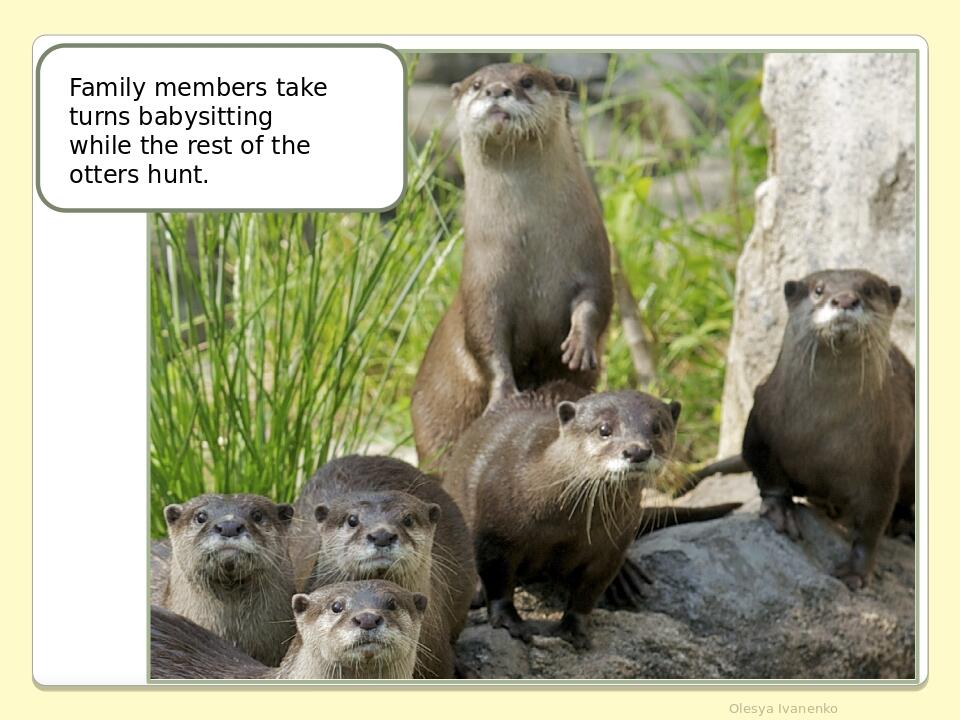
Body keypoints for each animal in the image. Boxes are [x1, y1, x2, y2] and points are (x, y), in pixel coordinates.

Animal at [410, 62, 613, 471]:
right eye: (476, 84)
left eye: (527, 81)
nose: (496, 90)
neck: (529, 245)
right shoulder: (482, 283)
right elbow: (485, 338)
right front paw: (504, 393)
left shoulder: (593, 257)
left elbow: (596, 302)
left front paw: (578, 345)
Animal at [444, 383, 683, 649]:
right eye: (604, 429)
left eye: (657, 427)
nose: (637, 450)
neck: (564, 524)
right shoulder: (495, 536)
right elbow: (498, 582)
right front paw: (509, 621)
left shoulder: (611, 550)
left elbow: (588, 592)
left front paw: (574, 627)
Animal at [742, 269, 914, 590]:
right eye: (819, 290)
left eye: (869, 290)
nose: (845, 299)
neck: (824, 432)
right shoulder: (760, 422)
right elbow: (765, 470)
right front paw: (780, 511)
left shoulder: (884, 459)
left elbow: (873, 521)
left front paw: (855, 570)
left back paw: (903, 525)